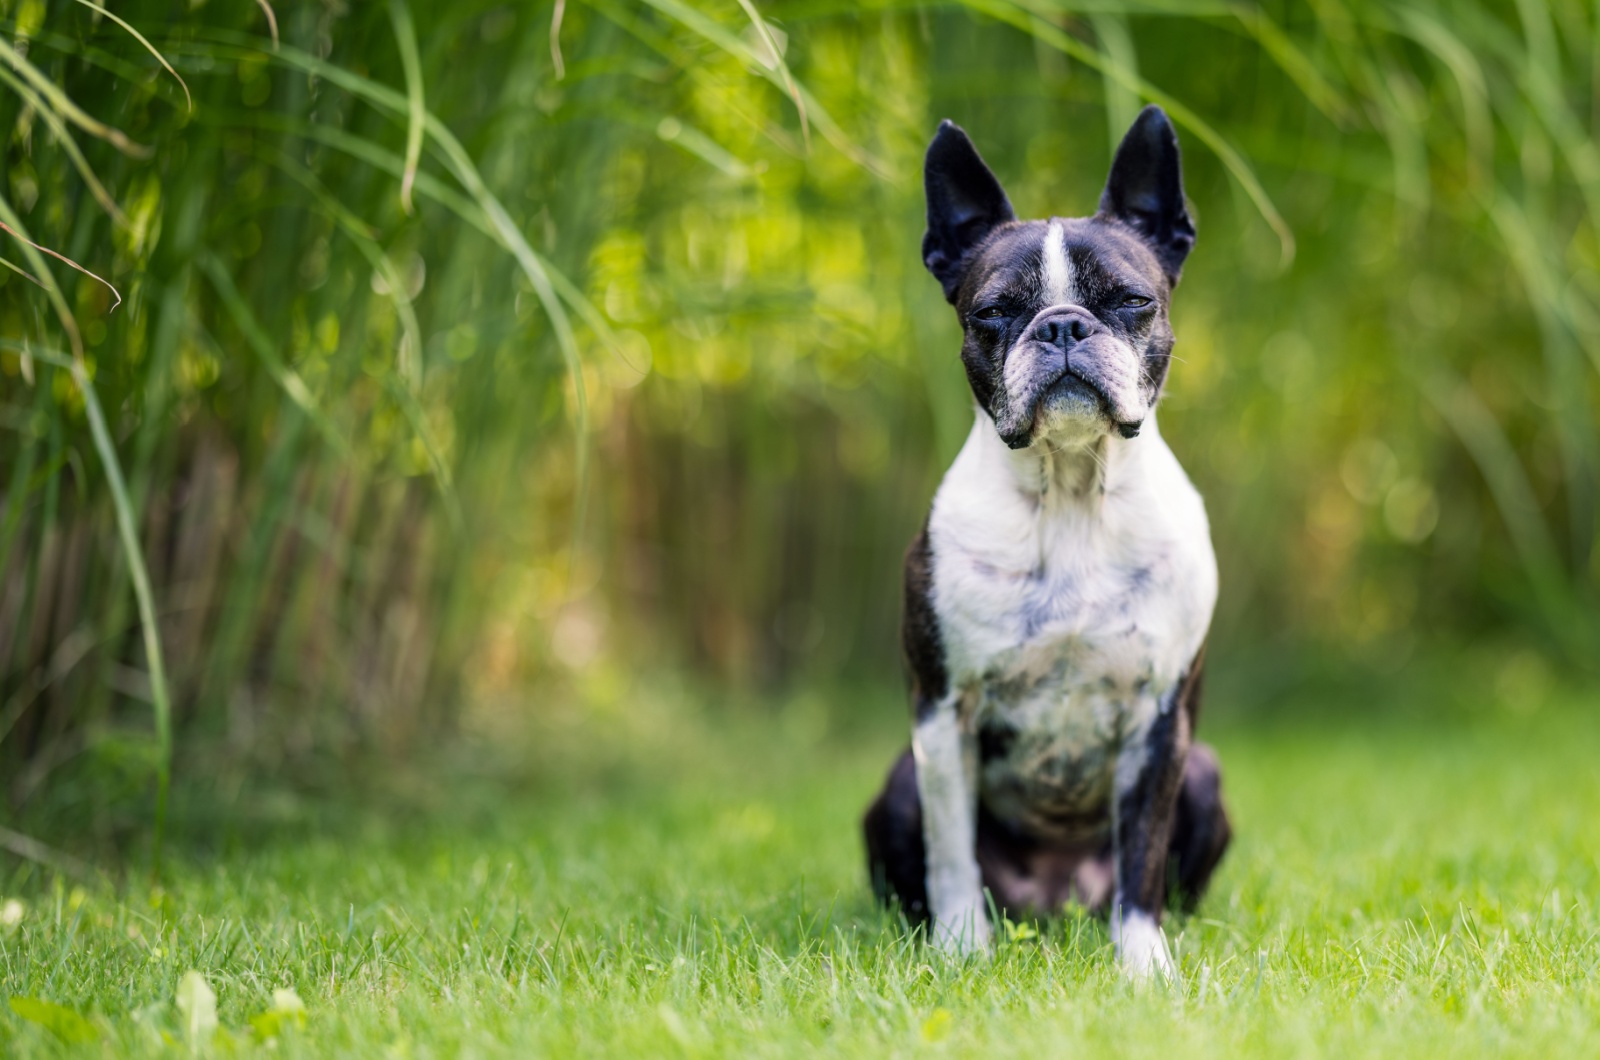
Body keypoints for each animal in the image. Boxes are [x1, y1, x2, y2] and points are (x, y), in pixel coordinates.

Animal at [864, 105, 1235, 979]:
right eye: (994, 312)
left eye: (1131, 300)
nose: (1063, 325)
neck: (1070, 496)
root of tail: (1057, 904)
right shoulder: (943, 716)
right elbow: (952, 853)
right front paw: (961, 952)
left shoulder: (1160, 721)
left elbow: (1142, 858)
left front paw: (1145, 966)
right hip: (900, 778)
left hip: (1203, 772)